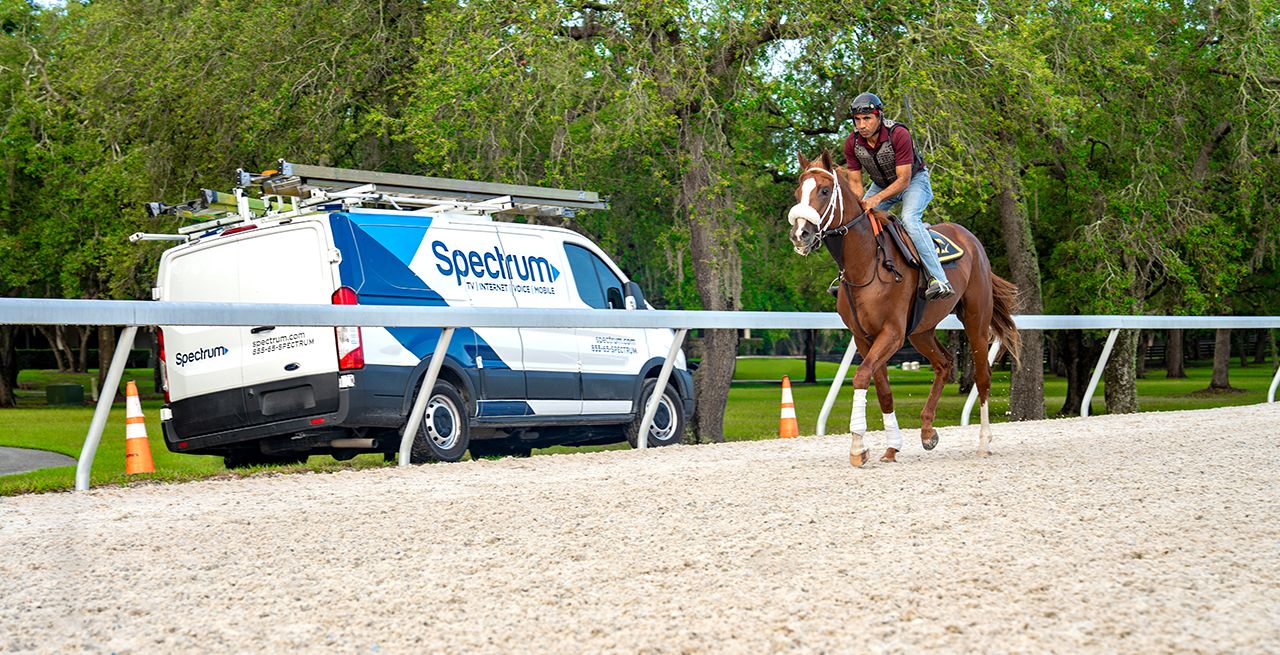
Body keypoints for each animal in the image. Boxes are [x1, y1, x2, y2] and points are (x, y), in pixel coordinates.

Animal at [787, 151, 1020, 467]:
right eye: (798, 192)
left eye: (824, 191)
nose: (800, 234)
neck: (867, 264)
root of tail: (971, 240)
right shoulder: (864, 337)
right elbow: (883, 391)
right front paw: (891, 447)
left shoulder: (893, 334)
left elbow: (861, 376)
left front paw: (858, 446)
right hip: (921, 330)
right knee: (944, 363)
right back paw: (927, 431)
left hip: (976, 319)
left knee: (982, 377)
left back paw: (984, 442)